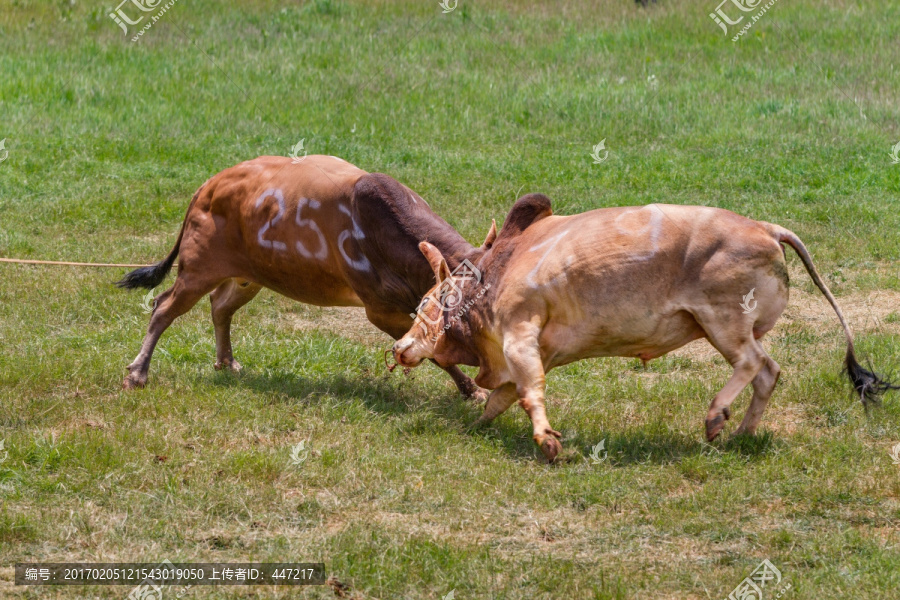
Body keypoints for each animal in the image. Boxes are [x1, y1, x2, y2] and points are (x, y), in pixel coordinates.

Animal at [117, 156, 496, 398]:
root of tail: (209, 186)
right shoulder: (380, 310)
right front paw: (472, 390)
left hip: (250, 276)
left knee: (220, 306)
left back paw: (226, 361)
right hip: (198, 269)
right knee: (163, 306)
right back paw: (137, 373)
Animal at [392, 195, 892, 462]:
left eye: (423, 306)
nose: (398, 347)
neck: (495, 272)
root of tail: (767, 228)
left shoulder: (520, 333)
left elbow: (529, 391)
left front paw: (548, 442)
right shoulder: (534, 351)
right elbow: (503, 395)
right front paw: (476, 424)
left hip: (724, 322)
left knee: (753, 364)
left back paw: (715, 417)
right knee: (769, 371)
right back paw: (742, 435)